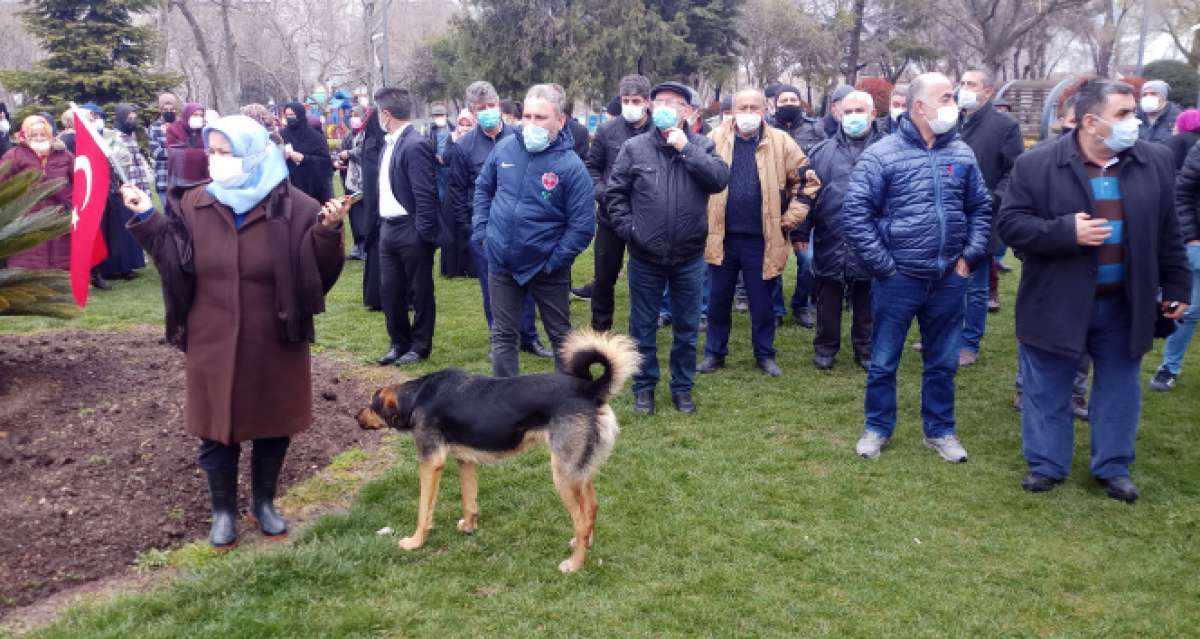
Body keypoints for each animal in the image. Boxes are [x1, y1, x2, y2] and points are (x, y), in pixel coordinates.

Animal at [355, 329, 638, 574]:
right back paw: (584, 545)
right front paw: (469, 528)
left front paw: (415, 542)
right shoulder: (465, 460)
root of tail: (589, 390)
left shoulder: (430, 463)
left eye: (371, 404)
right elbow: (469, 501)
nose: (355, 416)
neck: (416, 397)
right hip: (579, 469)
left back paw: (575, 564)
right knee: (591, 509)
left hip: (563, 475)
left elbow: (424, 510)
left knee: (580, 520)